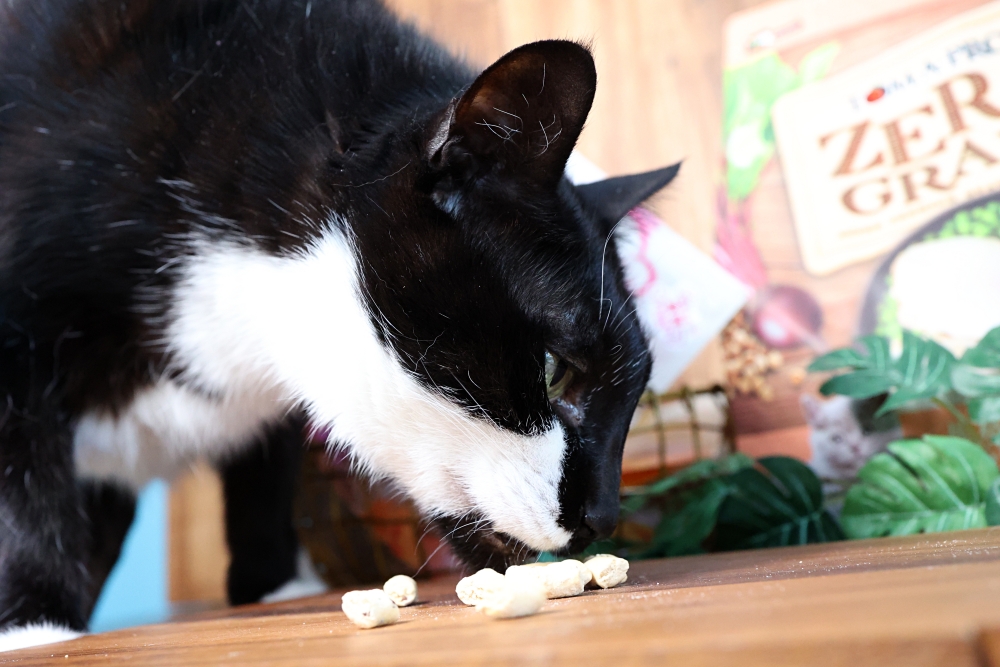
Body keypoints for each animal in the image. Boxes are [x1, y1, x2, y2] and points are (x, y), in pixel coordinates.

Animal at [0, 0, 680, 652]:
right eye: (553, 369)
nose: (603, 517)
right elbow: (23, 482)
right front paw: (33, 623)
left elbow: (265, 475)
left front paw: (272, 583)